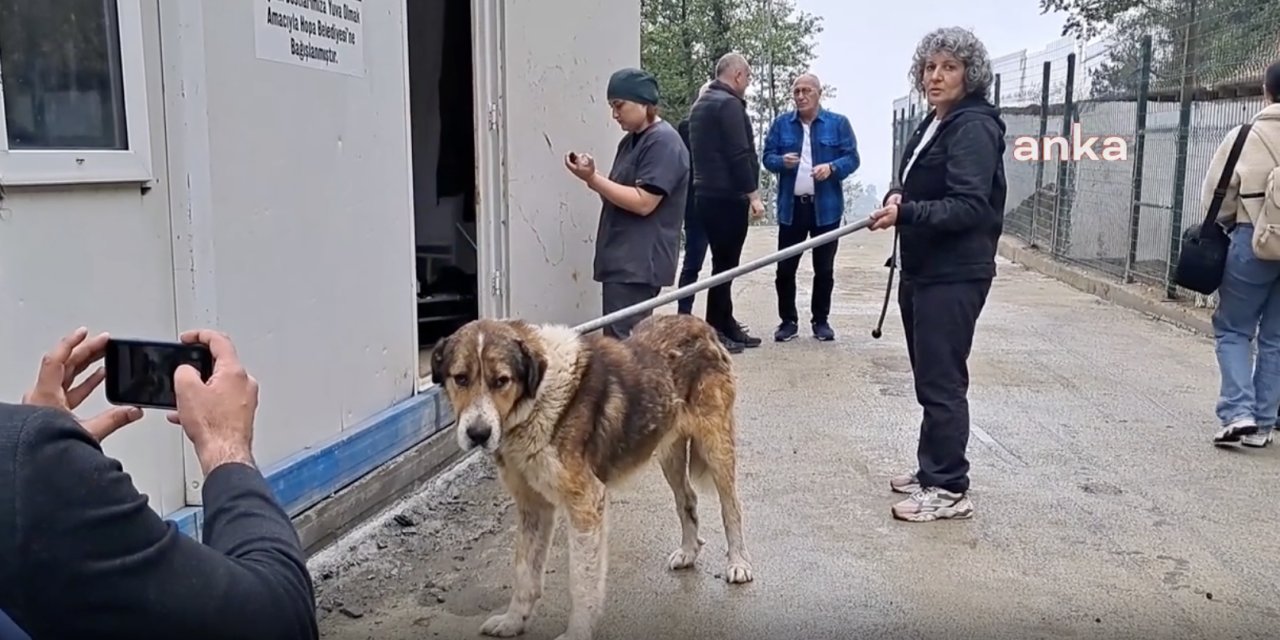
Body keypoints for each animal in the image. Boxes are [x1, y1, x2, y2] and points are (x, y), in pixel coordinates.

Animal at [432, 313, 747, 640]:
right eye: (461, 378)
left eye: (501, 381)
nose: (478, 434)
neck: (538, 398)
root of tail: (699, 324)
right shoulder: (534, 506)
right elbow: (524, 573)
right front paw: (513, 621)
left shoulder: (586, 501)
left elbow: (582, 580)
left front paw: (577, 632)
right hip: (667, 449)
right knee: (687, 499)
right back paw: (688, 551)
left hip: (716, 445)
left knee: (731, 507)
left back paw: (738, 563)